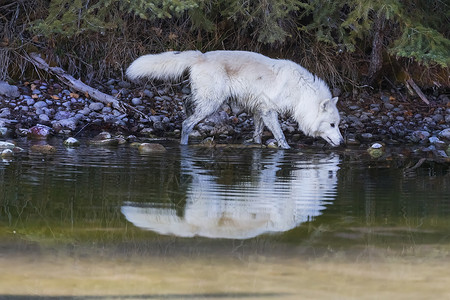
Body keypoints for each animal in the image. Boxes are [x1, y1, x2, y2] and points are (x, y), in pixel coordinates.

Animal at [125, 50, 342, 149]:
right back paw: (184, 144)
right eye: (332, 124)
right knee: (186, 123)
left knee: (186, 102)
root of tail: (200, 56)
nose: (341, 142)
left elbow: (257, 133)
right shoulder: (269, 110)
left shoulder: (259, 111)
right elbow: (280, 135)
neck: (301, 92)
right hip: (211, 104)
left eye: (338, 125)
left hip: (206, 99)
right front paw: (286, 150)